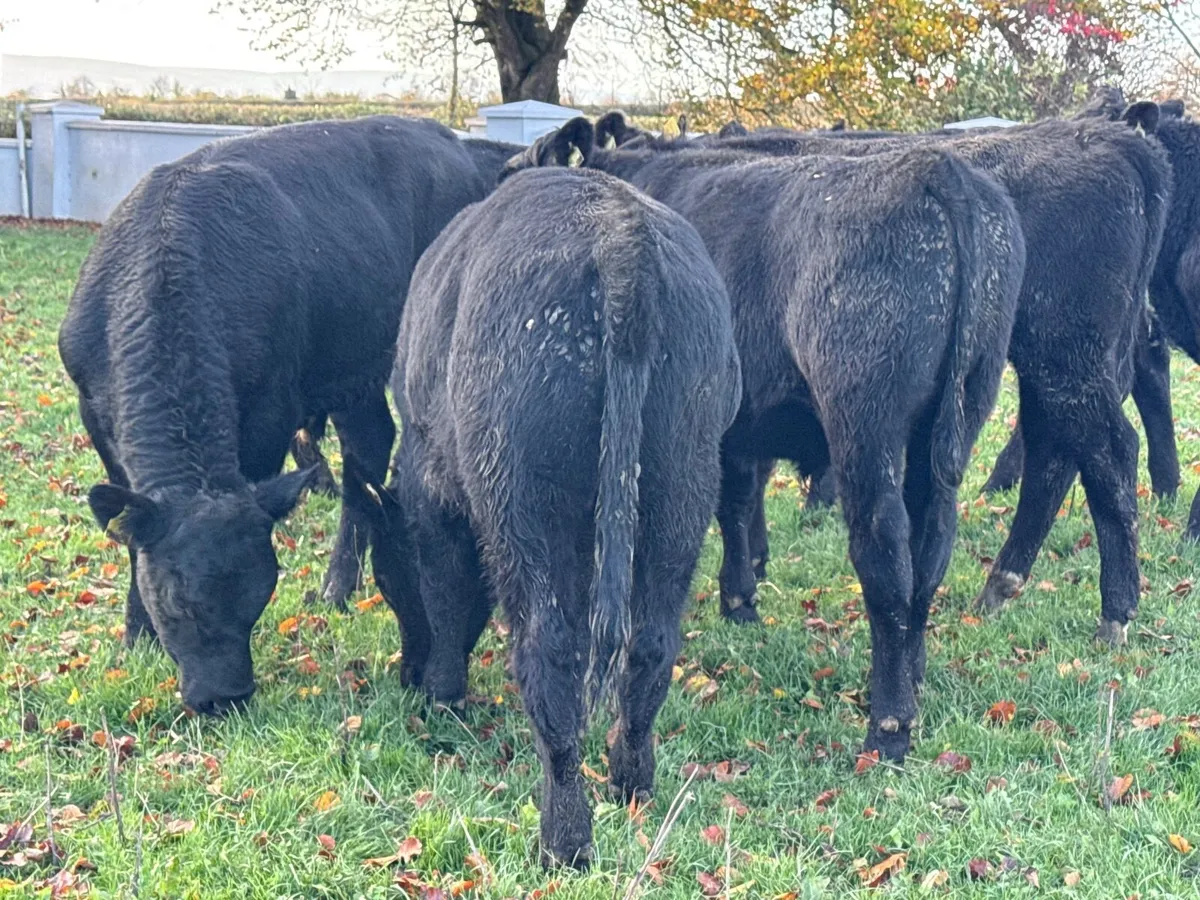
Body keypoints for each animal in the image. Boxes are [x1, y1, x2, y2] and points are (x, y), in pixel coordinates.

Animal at [58, 116, 518, 714]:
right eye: (179, 605)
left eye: (259, 595)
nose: (224, 697)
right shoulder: (94, 413)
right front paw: (137, 638)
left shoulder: (270, 413)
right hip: (350, 369)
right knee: (368, 444)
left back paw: (337, 584)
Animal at [359, 165, 741, 867]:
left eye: (387, 579)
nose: (409, 674)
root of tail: (620, 234)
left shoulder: (434, 489)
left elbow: (447, 593)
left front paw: (444, 696)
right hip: (682, 493)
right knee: (649, 644)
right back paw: (631, 782)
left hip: (527, 508)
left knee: (551, 651)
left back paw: (563, 839)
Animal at [505, 118, 1026, 760]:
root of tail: (936, 170)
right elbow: (743, 498)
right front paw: (748, 581)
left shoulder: (717, 424)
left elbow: (729, 504)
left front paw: (738, 599)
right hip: (960, 409)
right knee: (930, 548)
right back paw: (915, 671)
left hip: (866, 420)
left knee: (884, 553)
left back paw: (888, 725)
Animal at [622, 104, 1169, 644]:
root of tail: (1110, 137)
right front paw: (754, 567)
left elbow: (737, 488)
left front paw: (741, 587)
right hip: (1049, 366)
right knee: (1051, 451)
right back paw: (1000, 585)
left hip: (1062, 357)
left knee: (1109, 450)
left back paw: (1114, 611)